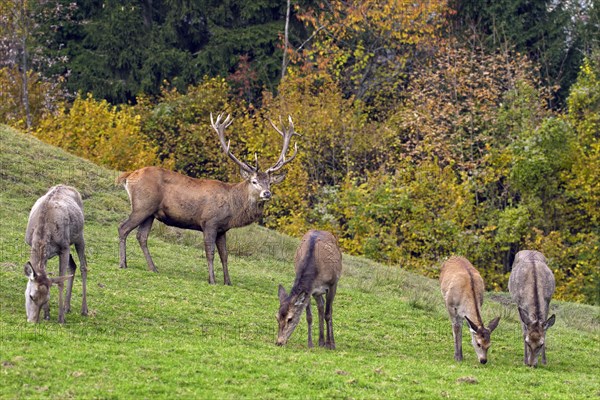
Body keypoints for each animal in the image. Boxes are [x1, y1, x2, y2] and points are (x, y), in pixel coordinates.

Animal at [23, 186, 88, 324]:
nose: (33, 321)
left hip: (79, 236)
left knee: (83, 266)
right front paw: (47, 314)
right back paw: (67, 307)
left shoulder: (64, 247)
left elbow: (60, 281)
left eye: (46, 299)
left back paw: (84, 309)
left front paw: (60, 318)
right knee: (72, 266)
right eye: (31, 296)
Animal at [116, 114, 298, 286]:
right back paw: (123, 264)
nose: (267, 193)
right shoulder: (209, 222)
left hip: (151, 213)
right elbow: (210, 253)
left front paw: (228, 281)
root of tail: (128, 176)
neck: (232, 207)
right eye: (254, 181)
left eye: (270, 183)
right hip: (142, 206)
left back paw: (153, 268)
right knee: (123, 228)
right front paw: (212, 280)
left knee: (141, 236)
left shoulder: (223, 229)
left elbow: (225, 255)